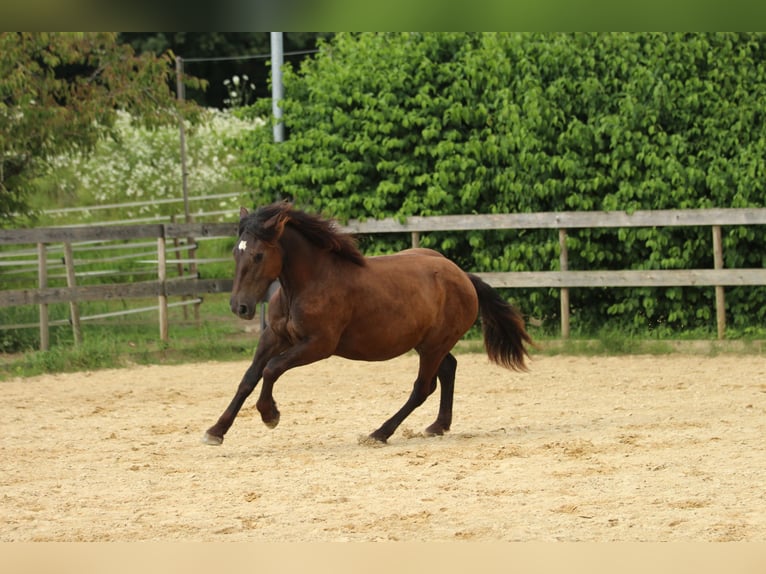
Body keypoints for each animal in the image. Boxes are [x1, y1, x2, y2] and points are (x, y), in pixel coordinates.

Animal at [206, 202, 536, 446]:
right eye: (236, 252)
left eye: (259, 255)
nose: (240, 307)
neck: (307, 283)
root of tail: (461, 275)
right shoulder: (274, 336)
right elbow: (249, 377)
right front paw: (215, 431)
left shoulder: (318, 345)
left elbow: (272, 369)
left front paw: (270, 415)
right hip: (428, 343)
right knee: (448, 370)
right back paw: (438, 426)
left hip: (434, 345)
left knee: (422, 387)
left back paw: (380, 433)